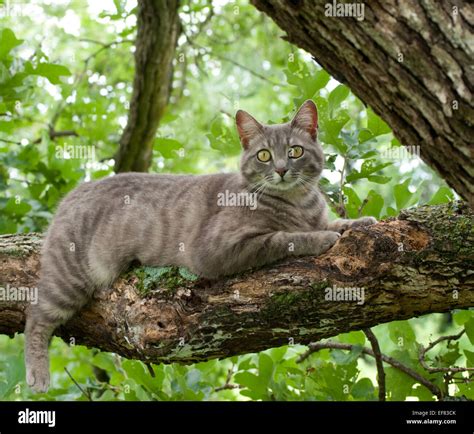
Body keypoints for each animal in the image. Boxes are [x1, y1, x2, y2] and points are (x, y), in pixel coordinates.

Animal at [25, 100, 376, 392]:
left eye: (295, 151)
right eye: (264, 155)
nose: (280, 169)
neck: (298, 202)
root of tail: (70, 196)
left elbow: (332, 223)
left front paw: (358, 222)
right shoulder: (215, 249)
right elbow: (283, 237)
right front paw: (319, 238)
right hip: (70, 277)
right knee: (36, 316)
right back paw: (38, 374)